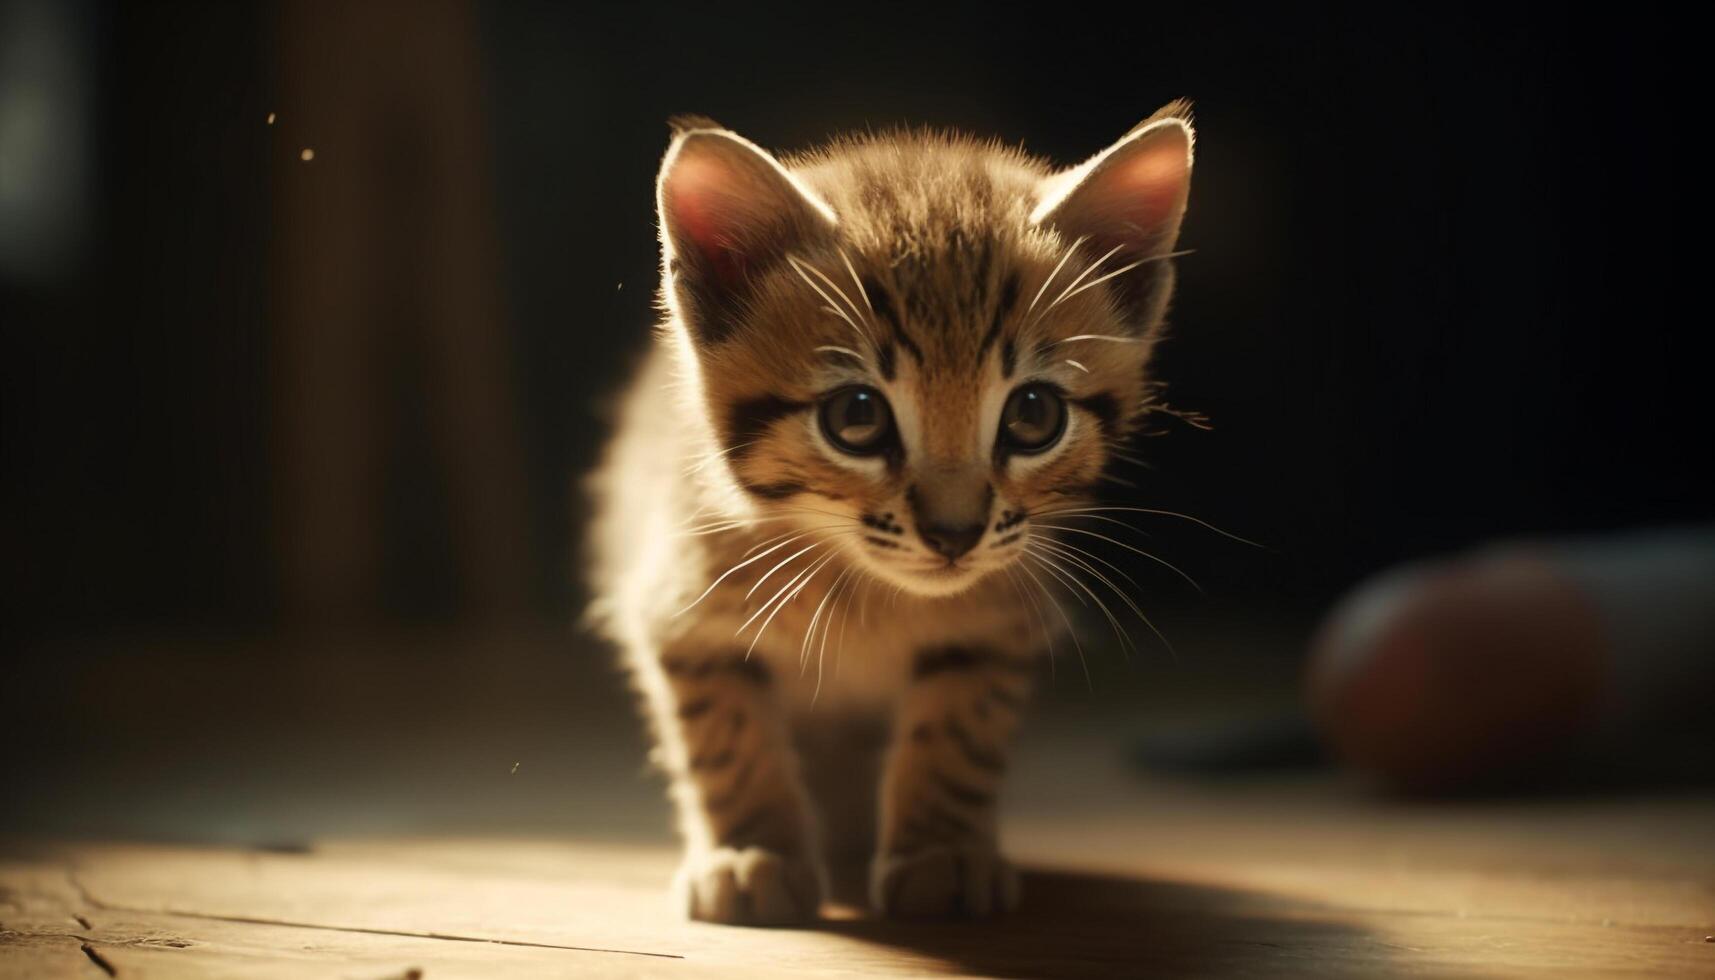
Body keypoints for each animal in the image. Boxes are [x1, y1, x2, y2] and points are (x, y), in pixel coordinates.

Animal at [589, 101, 1193, 926]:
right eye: (856, 416)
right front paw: (751, 850)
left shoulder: (999, 618)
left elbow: (959, 731)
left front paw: (940, 852)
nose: (954, 534)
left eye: (1033, 414)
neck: (866, 592)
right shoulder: (679, 612)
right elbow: (723, 736)